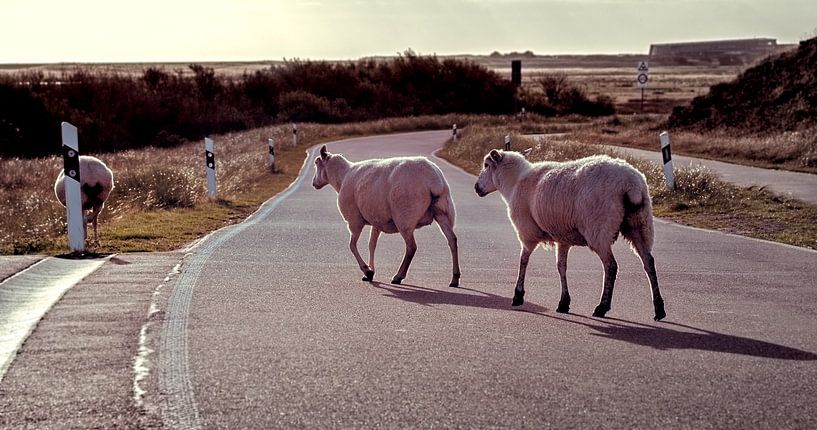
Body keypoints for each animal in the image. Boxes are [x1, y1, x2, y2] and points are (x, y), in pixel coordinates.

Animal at [312, 145, 461, 287]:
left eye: (316, 163)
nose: (314, 184)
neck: (342, 177)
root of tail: (432, 179)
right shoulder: (377, 219)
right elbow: (372, 244)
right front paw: (371, 271)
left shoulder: (354, 220)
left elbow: (352, 246)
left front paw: (367, 271)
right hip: (443, 212)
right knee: (452, 240)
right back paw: (455, 278)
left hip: (404, 217)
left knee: (411, 247)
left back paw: (398, 276)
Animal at [474, 149, 666, 321]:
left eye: (486, 165)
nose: (476, 187)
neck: (514, 182)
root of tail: (630, 183)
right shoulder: (562, 237)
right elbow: (561, 267)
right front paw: (564, 302)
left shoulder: (527, 232)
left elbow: (523, 261)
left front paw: (518, 295)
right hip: (641, 224)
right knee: (649, 262)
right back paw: (659, 309)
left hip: (599, 229)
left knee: (611, 266)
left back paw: (602, 307)